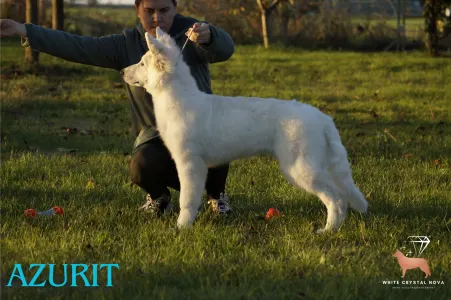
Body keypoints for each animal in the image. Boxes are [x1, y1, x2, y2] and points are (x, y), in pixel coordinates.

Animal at [122, 28, 370, 233]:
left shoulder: (190, 164)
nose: (123, 71)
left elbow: (187, 200)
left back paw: (328, 230)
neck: (178, 98)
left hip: (301, 168)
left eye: (142, 64)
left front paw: (181, 227)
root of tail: (323, 118)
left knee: (336, 198)